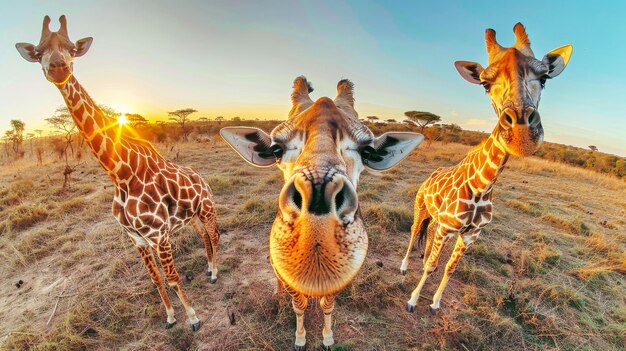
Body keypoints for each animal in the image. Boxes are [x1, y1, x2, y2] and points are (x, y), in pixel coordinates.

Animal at [14, 15, 219, 332]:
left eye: (72, 49)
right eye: (38, 52)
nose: (58, 68)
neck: (121, 173)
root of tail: (202, 179)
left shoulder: (158, 234)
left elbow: (172, 278)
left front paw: (194, 318)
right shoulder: (137, 238)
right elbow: (156, 278)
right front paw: (171, 317)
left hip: (207, 209)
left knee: (214, 234)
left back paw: (215, 273)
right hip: (192, 216)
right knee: (204, 237)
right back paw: (208, 270)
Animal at [221, 76, 424, 350]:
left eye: (367, 152)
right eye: (276, 150)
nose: (317, 237)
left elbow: (328, 304)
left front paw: (327, 338)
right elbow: (299, 305)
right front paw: (299, 339)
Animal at [400, 23, 572, 314]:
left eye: (544, 79)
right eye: (485, 84)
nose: (521, 135)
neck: (481, 187)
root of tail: (431, 175)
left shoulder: (470, 235)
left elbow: (449, 267)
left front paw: (435, 303)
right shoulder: (448, 228)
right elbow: (433, 265)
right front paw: (412, 300)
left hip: (438, 220)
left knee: (428, 235)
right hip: (420, 205)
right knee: (414, 231)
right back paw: (403, 267)